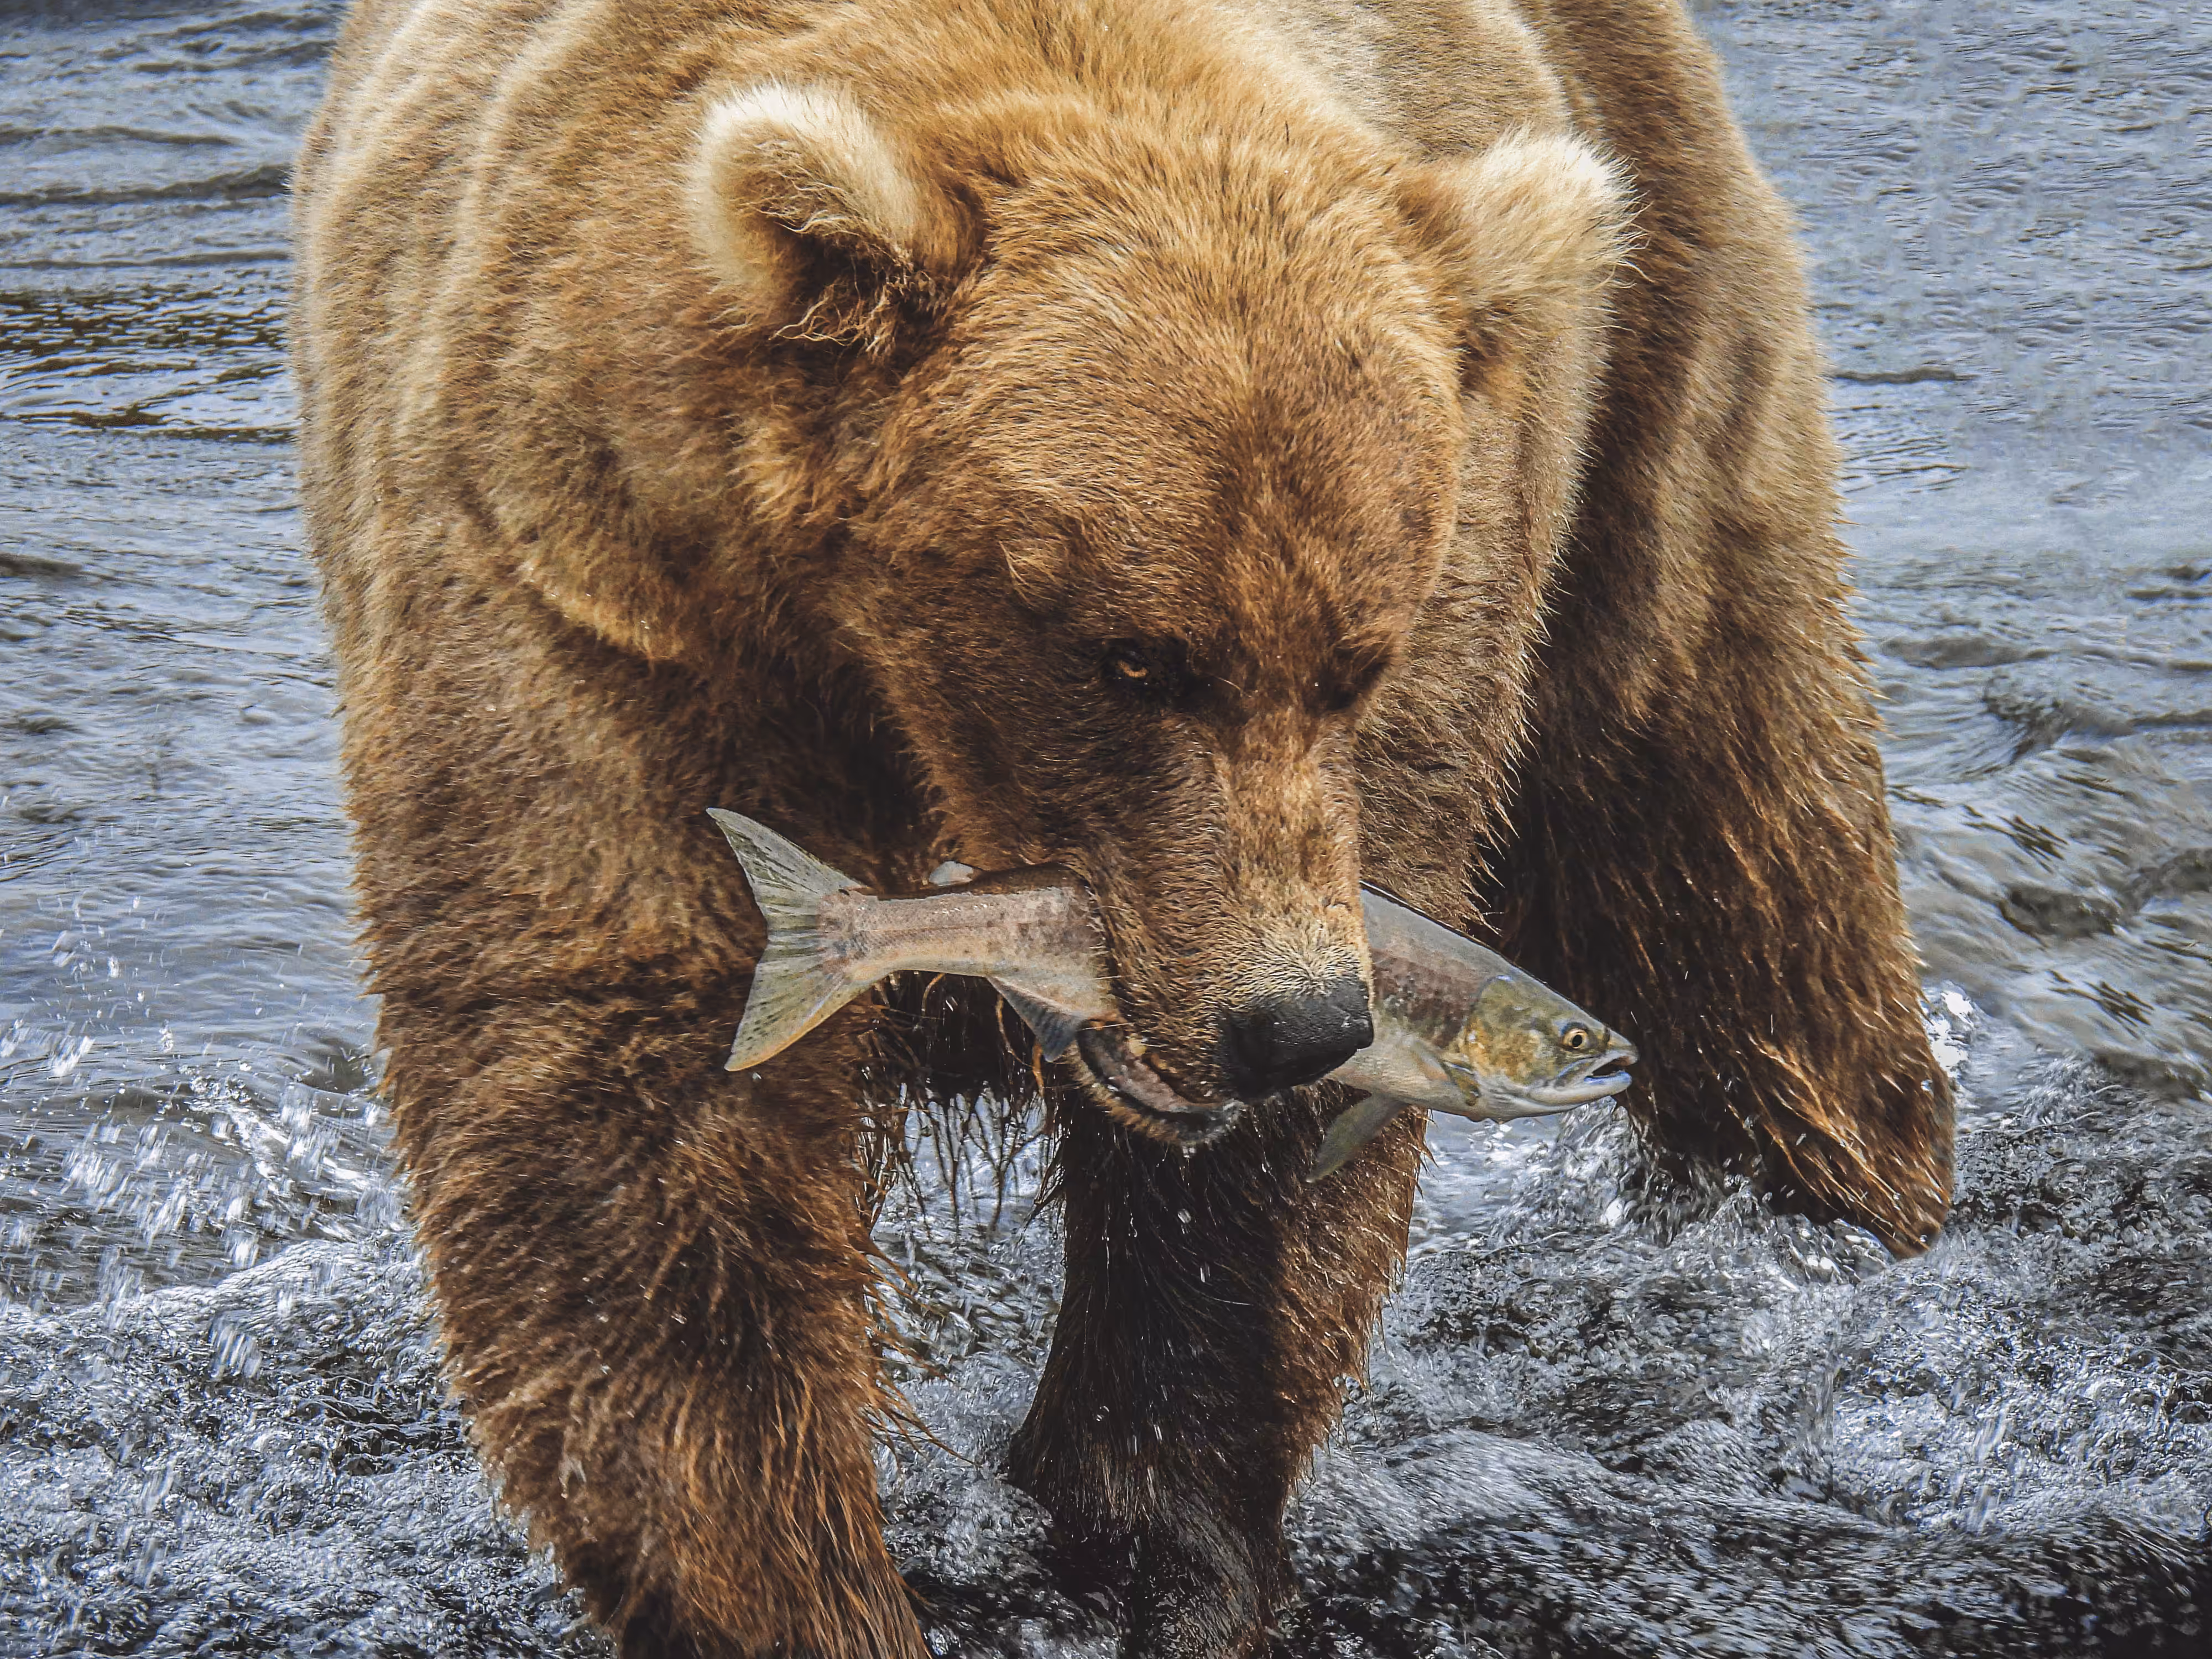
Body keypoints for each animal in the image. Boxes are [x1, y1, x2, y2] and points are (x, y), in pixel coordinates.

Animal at [289, 0, 1954, 1653]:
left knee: (1740, 862)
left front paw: (1157, 1521)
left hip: (1654, 341)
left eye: (1354, 660)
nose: (1291, 1019)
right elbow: (638, 1146)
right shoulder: (595, 593)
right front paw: (805, 1587)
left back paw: (1855, 1208)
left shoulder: (1414, 692)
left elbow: (1246, 1218)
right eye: (1133, 656)